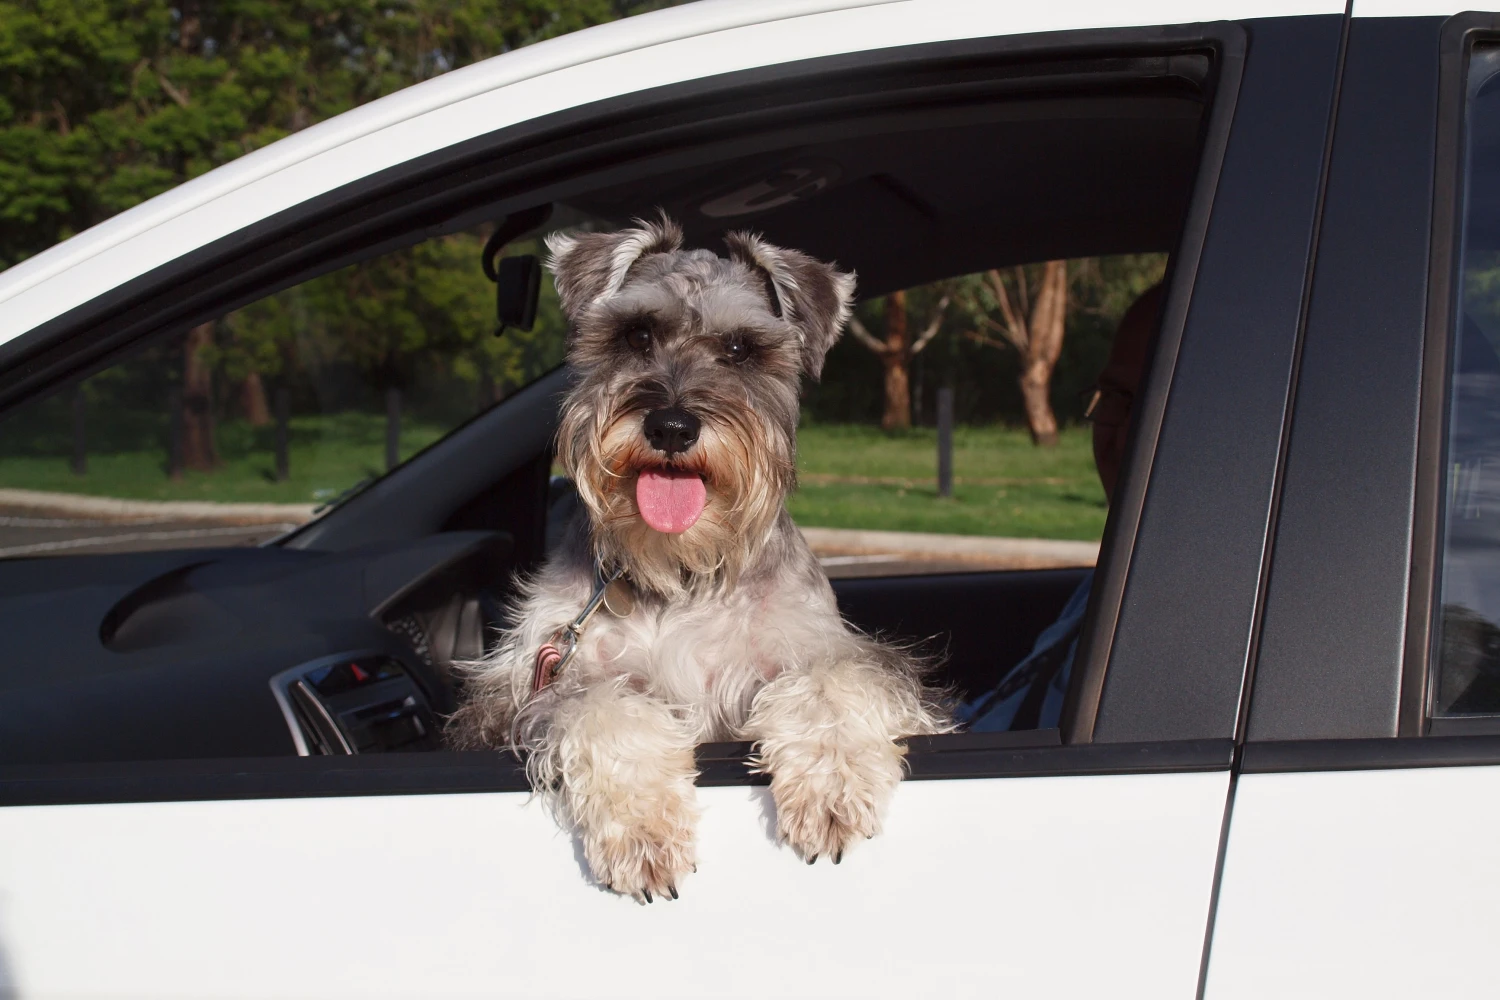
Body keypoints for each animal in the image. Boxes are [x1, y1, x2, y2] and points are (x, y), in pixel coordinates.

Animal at [444, 215, 948, 905]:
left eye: (739, 348)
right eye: (636, 334)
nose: (672, 426)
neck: (683, 573)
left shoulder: (824, 649)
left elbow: (831, 682)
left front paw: (832, 789)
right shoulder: (533, 690)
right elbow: (603, 708)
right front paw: (643, 832)